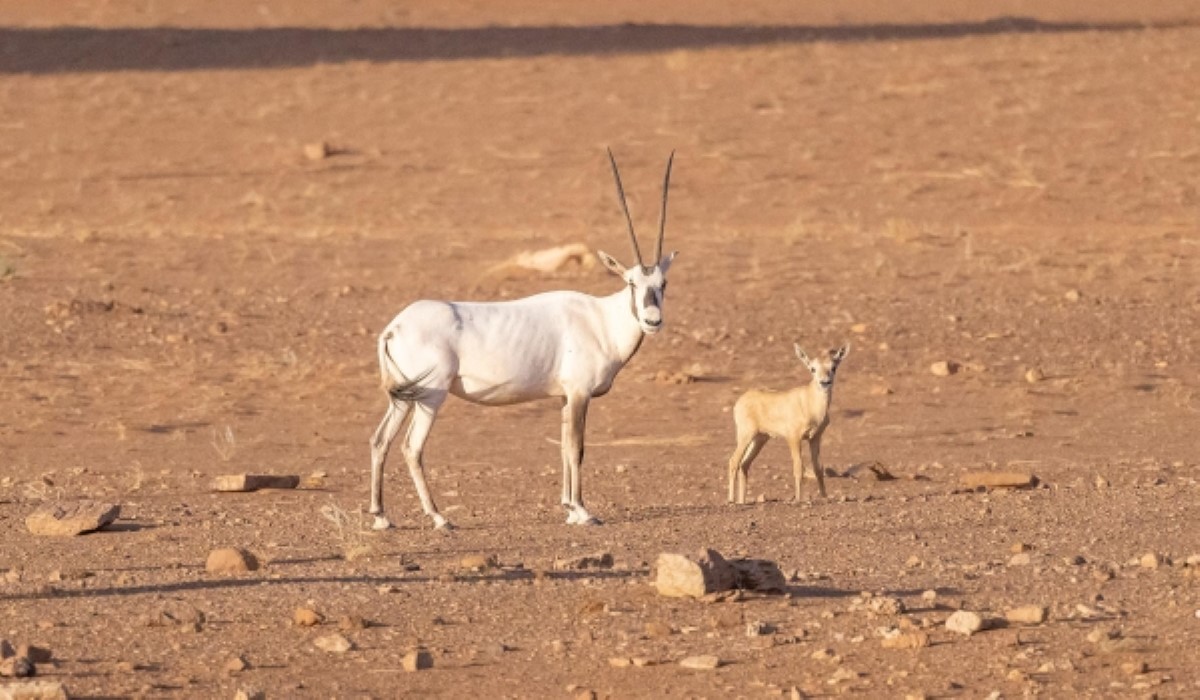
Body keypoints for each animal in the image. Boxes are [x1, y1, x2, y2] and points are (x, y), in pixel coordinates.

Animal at [367, 149, 676, 530]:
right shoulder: (579, 393)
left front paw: (568, 508)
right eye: (631, 282)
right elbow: (577, 448)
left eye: (662, 284)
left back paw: (381, 516)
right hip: (430, 396)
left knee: (380, 440)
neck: (601, 318)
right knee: (412, 447)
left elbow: (563, 447)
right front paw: (583, 511)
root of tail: (394, 327)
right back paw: (439, 518)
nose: (652, 321)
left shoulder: (565, 397)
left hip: (403, 397)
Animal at [724, 343, 849, 504]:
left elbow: (818, 467)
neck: (810, 402)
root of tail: (742, 399)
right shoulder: (794, 438)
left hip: (759, 439)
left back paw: (742, 501)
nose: (824, 383)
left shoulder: (815, 438)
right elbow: (798, 467)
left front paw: (825, 498)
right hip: (745, 436)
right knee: (734, 461)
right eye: (812, 368)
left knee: (744, 464)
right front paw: (798, 499)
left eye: (833, 367)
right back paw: (731, 500)